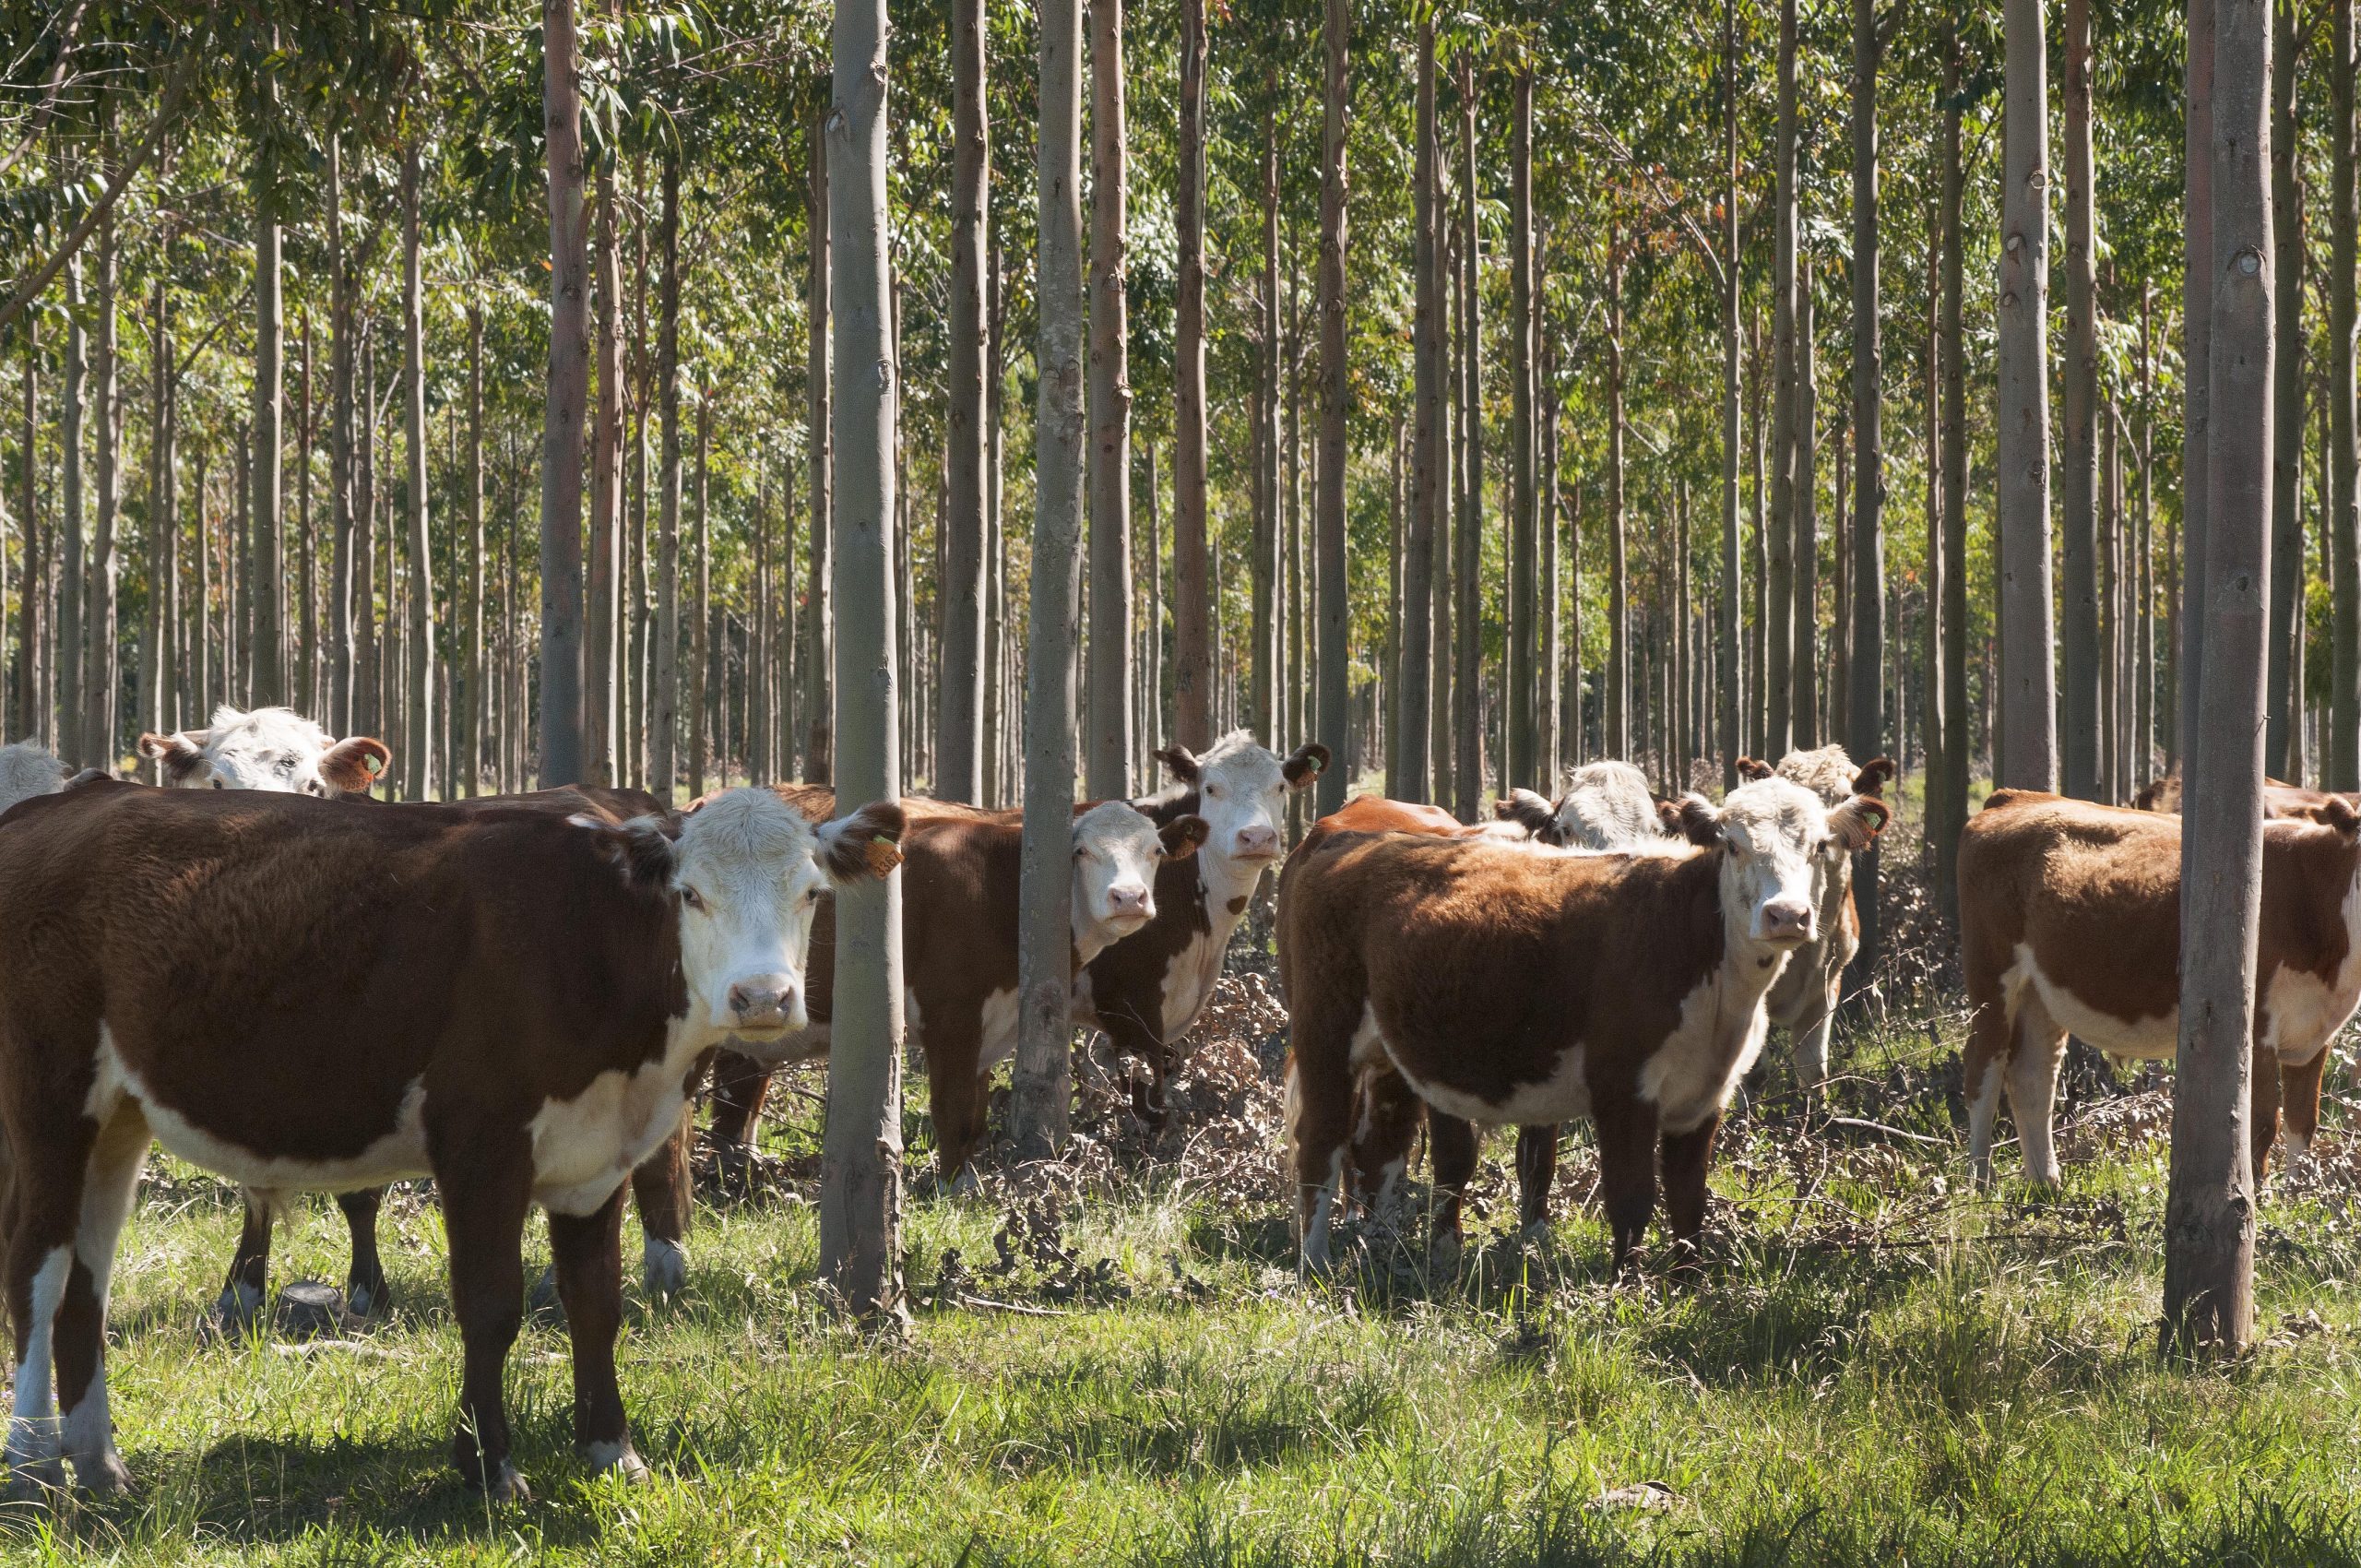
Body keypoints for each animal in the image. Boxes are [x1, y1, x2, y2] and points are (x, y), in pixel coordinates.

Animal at [0, 778, 896, 1492]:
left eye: (811, 892)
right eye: (690, 895)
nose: (762, 997)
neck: (588, 939)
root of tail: (63, 801)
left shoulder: (596, 1157)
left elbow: (596, 1303)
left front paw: (613, 1451)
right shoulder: (480, 1142)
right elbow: (492, 1306)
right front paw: (489, 1467)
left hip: (117, 1117)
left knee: (86, 1280)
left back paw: (99, 1462)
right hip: (49, 1104)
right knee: (38, 1267)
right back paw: (34, 1457)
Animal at [689, 802, 1208, 1181]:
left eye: (1155, 851)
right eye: (1080, 851)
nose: (1129, 898)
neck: (995, 887)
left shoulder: (987, 1032)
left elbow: (973, 1120)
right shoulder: (952, 1019)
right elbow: (952, 1114)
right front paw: (951, 1191)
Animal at [1284, 774, 1889, 1275]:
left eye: (1819, 846)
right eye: (1733, 844)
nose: (1787, 915)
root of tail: (1352, 841)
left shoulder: (1704, 1097)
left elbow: (1688, 1203)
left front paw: (1687, 1291)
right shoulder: (1622, 1086)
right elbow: (1631, 1198)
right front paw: (1626, 1293)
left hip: (1394, 1058)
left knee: (1382, 1150)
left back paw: (1387, 1249)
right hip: (1325, 1037)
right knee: (1322, 1145)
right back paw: (1314, 1264)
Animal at [1954, 789, 2361, 1181]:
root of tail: (2015, 797)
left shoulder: (2315, 1035)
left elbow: (2302, 1124)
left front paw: (2299, 1193)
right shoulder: (2256, 1027)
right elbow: (2261, 1125)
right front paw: (2258, 1197)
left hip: (2040, 993)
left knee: (2033, 1077)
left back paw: (2045, 1185)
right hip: (1990, 975)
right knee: (1982, 1073)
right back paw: (1981, 1184)